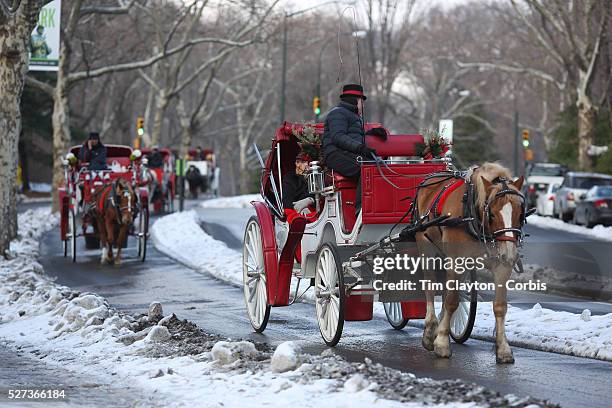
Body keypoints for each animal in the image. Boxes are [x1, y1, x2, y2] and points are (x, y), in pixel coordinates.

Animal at [416, 163, 524, 364]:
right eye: (492, 214)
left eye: (520, 214)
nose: (510, 254)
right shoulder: (456, 260)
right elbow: (451, 301)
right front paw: (442, 343)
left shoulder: (501, 267)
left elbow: (500, 306)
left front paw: (503, 349)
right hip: (425, 246)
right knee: (430, 285)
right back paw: (430, 330)